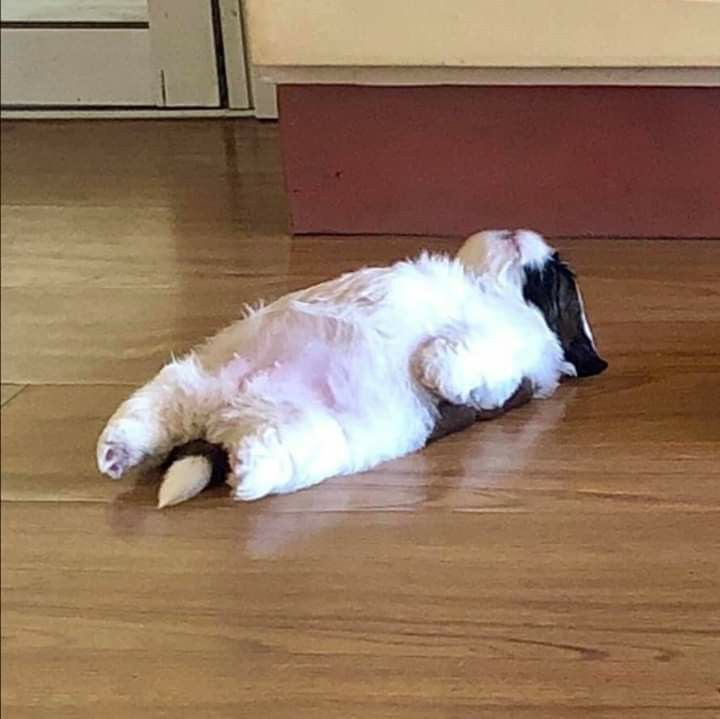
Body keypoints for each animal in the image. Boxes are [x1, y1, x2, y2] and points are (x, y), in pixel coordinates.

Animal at [97, 230, 607, 507]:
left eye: (554, 273)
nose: (527, 233)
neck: (484, 288)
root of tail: (222, 416)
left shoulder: (509, 354)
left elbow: (459, 350)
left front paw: (432, 367)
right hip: (189, 380)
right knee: (150, 417)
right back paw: (115, 452)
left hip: (302, 433)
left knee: (260, 455)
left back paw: (245, 470)